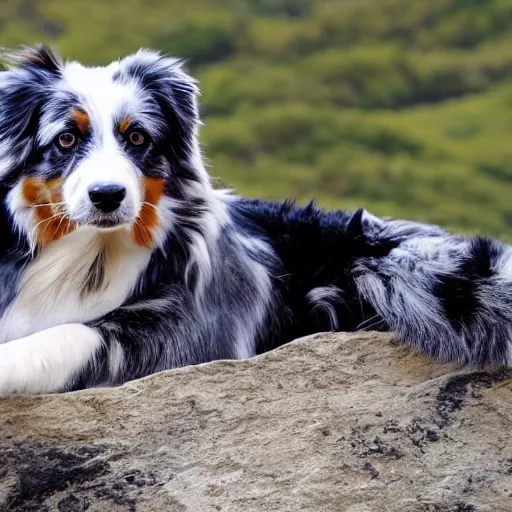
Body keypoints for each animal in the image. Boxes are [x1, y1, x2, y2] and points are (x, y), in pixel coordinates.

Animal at [0, 45, 510, 396]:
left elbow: (71, 333)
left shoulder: (190, 336)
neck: (92, 252)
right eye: (66, 138)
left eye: (138, 137)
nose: (107, 196)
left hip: (401, 271)